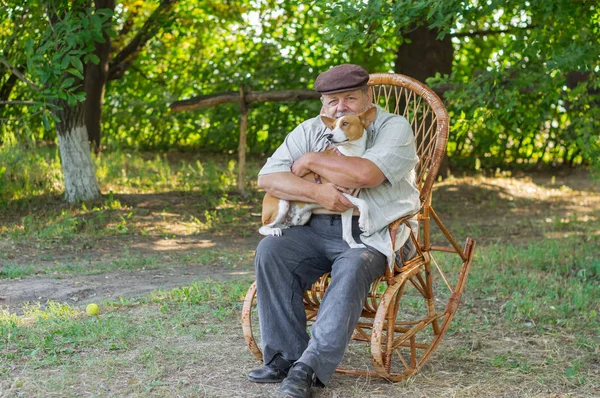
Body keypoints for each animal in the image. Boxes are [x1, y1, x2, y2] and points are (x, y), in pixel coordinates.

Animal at [260, 107, 378, 247]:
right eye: (332, 127)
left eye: (345, 123)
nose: (329, 136)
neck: (348, 155)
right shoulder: (337, 192)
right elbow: (364, 203)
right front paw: (363, 222)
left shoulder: (347, 203)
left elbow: (347, 232)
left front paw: (354, 245)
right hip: (282, 205)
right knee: (263, 227)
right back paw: (273, 230)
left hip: (304, 216)